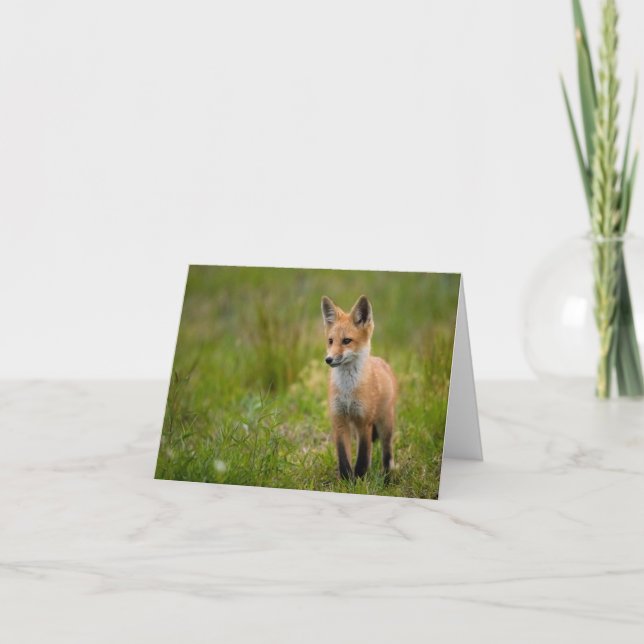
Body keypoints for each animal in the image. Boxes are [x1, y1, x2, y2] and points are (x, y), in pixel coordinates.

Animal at [321, 294, 397, 480]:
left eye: (346, 341)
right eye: (330, 341)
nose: (328, 359)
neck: (348, 391)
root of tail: (381, 361)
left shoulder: (364, 422)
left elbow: (362, 458)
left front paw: (360, 480)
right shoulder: (339, 420)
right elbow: (343, 458)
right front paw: (347, 481)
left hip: (385, 424)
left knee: (387, 452)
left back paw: (387, 476)